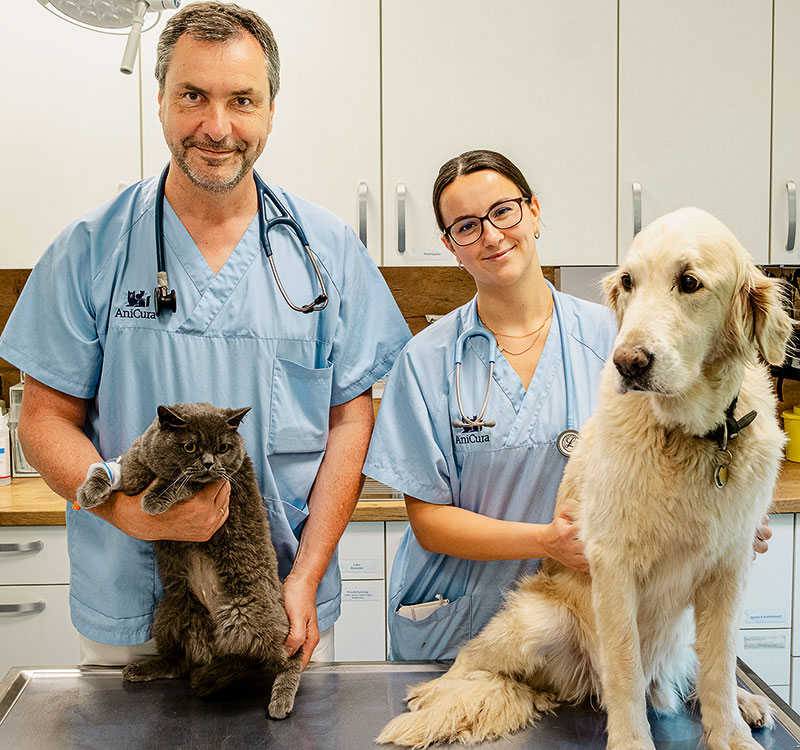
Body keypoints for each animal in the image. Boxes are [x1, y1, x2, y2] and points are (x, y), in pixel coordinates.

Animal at [76, 402, 302, 720]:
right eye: (190, 446)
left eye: (223, 447)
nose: (208, 463)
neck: (154, 469)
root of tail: (216, 646)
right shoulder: (133, 469)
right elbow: (109, 471)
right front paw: (90, 491)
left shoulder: (219, 483)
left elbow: (182, 482)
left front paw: (155, 498)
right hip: (171, 614)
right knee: (180, 664)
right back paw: (143, 669)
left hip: (250, 617)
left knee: (291, 656)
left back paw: (280, 700)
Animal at [378, 209, 792, 750]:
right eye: (628, 282)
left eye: (689, 282)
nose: (627, 363)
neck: (690, 436)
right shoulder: (613, 568)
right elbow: (625, 671)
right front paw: (632, 742)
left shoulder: (730, 567)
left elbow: (720, 667)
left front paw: (732, 733)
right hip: (536, 620)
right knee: (473, 659)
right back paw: (433, 694)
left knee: (693, 672)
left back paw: (747, 702)